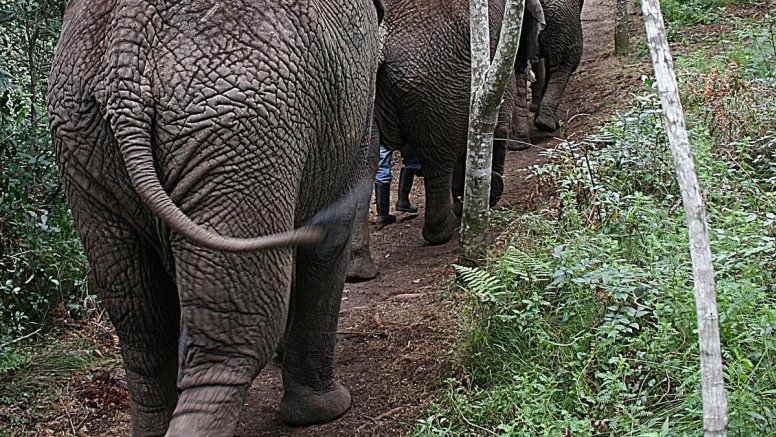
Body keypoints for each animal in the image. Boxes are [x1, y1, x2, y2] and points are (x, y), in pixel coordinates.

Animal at [47, 0, 382, 432]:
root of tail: (126, 46)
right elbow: (330, 236)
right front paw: (325, 412)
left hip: (83, 141)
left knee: (141, 328)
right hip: (237, 134)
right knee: (238, 338)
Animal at [348, 0, 544, 280]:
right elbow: (497, 124)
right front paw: (488, 196)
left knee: (364, 164)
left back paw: (358, 272)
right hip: (434, 85)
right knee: (438, 158)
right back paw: (444, 230)